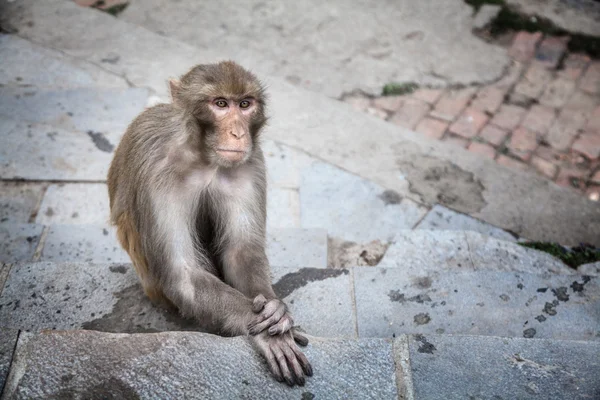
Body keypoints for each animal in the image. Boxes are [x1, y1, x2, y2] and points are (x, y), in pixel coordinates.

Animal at [108, 61, 314, 386]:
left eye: (245, 104)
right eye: (220, 104)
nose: (238, 133)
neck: (203, 157)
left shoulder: (249, 164)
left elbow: (241, 251)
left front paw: (275, 310)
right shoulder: (157, 173)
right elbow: (183, 274)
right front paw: (264, 329)